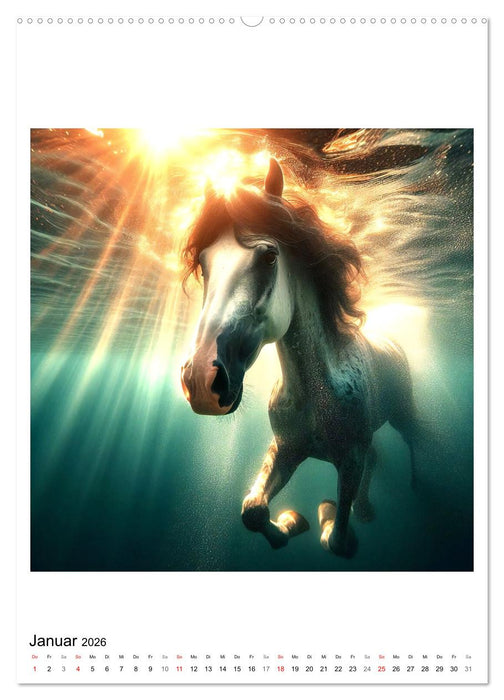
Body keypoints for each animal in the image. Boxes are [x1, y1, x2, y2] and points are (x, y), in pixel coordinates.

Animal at [180, 158, 420, 558]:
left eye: (269, 256)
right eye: (203, 261)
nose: (200, 380)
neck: (317, 394)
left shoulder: (350, 458)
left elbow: (339, 541)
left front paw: (326, 514)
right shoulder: (286, 450)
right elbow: (253, 510)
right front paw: (294, 521)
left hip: (403, 415)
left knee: (413, 442)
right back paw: (365, 509)